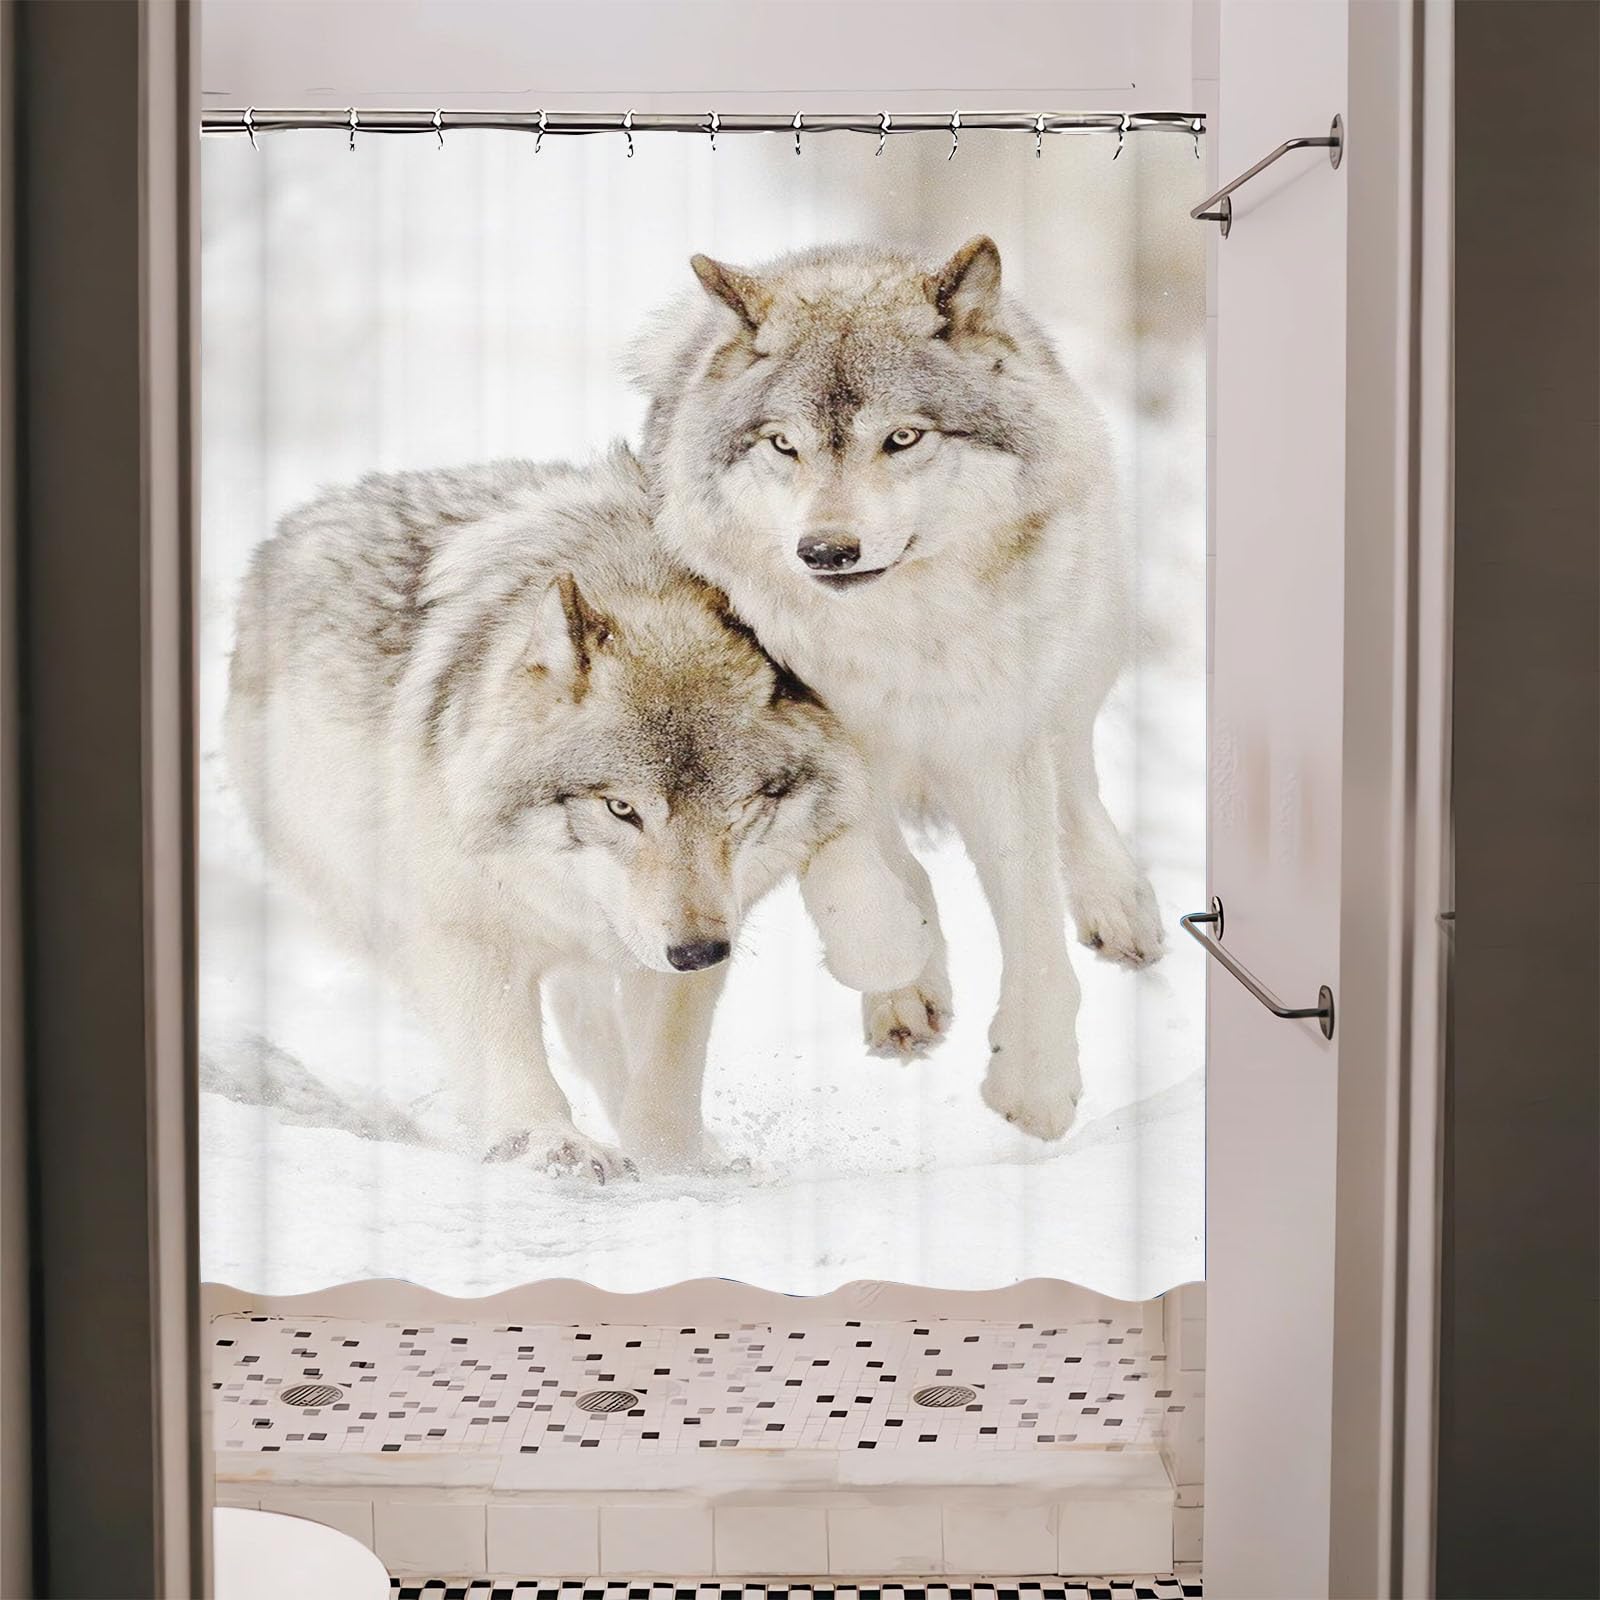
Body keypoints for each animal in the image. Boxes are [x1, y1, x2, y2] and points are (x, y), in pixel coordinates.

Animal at [225, 447, 930, 1179]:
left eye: (739, 808)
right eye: (621, 808)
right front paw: (548, 1142)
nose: (697, 951)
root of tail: (291, 529)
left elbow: (667, 1071)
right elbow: (506, 1053)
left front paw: (676, 1162)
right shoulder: (464, 931)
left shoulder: (700, 933)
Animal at [633, 236, 1165, 1142]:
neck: (896, 642)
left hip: (1080, 649)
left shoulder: (993, 741)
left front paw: (1035, 1080)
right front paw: (900, 973)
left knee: (1075, 777)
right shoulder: (815, 732)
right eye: (784, 445)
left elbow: (1031, 917)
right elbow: (861, 869)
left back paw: (1119, 903)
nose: (825, 550)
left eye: (903, 437)